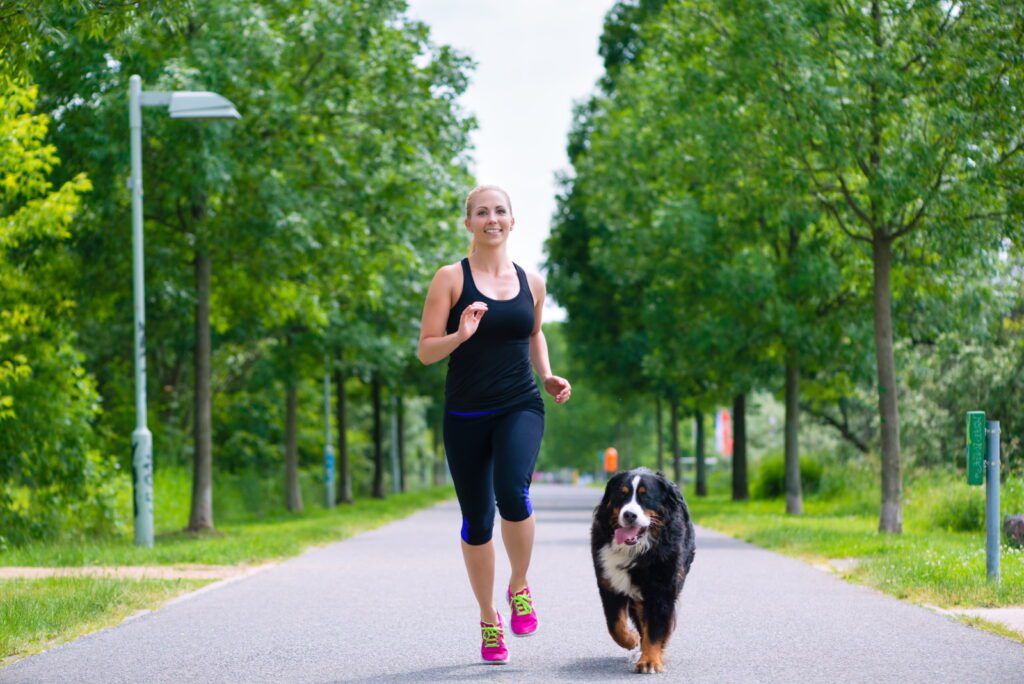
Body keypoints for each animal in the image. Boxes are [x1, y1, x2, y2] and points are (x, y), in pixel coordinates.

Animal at [593, 471, 696, 671]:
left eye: (646, 496)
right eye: (622, 494)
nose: (629, 514)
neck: (635, 550)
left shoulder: (661, 588)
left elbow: (655, 627)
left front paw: (650, 661)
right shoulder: (609, 582)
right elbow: (614, 624)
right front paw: (631, 639)